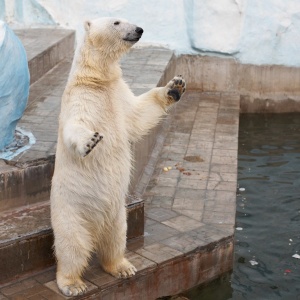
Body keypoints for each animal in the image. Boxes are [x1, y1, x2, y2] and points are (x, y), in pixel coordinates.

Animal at [50, 17, 186, 296]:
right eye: (116, 21)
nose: (139, 29)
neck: (96, 79)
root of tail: (95, 228)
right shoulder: (80, 98)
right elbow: (75, 124)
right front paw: (90, 140)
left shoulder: (118, 94)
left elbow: (137, 114)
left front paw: (175, 87)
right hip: (70, 212)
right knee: (72, 247)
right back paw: (72, 284)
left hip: (118, 214)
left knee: (115, 240)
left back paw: (123, 267)